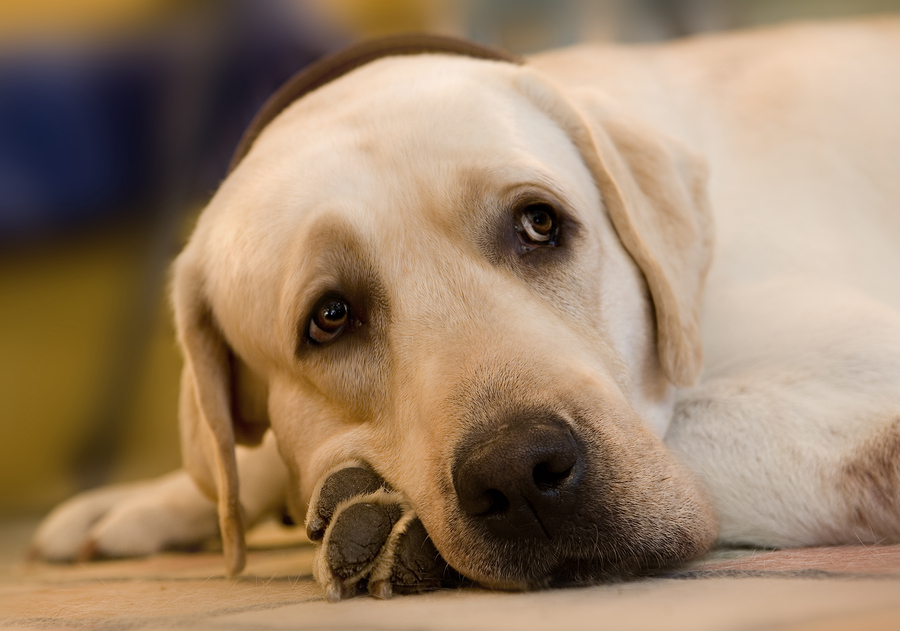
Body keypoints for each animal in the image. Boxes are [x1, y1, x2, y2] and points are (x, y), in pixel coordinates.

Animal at [31, 18, 900, 604]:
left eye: (540, 224)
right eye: (330, 317)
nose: (521, 474)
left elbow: (698, 422)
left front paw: (371, 509)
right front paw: (147, 501)